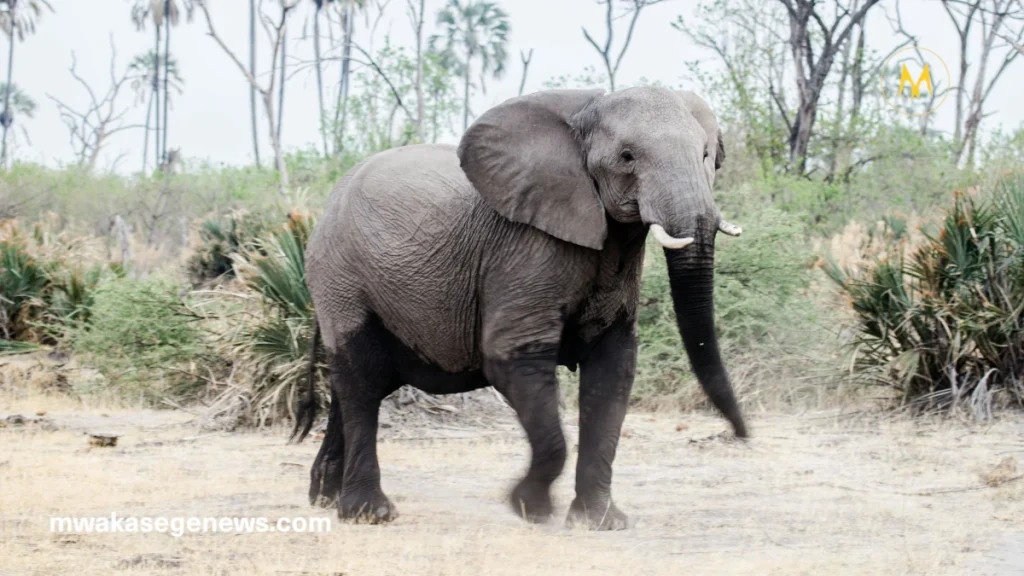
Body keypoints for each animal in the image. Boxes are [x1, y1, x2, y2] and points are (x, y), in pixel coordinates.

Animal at [292, 86, 747, 530]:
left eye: (706, 156)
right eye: (627, 157)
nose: (743, 433)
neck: (588, 108)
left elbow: (613, 369)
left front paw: (600, 522)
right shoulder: (524, 250)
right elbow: (513, 358)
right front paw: (529, 507)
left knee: (358, 384)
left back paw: (325, 499)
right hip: (340, 277)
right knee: (362, 381)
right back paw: (369, 513)